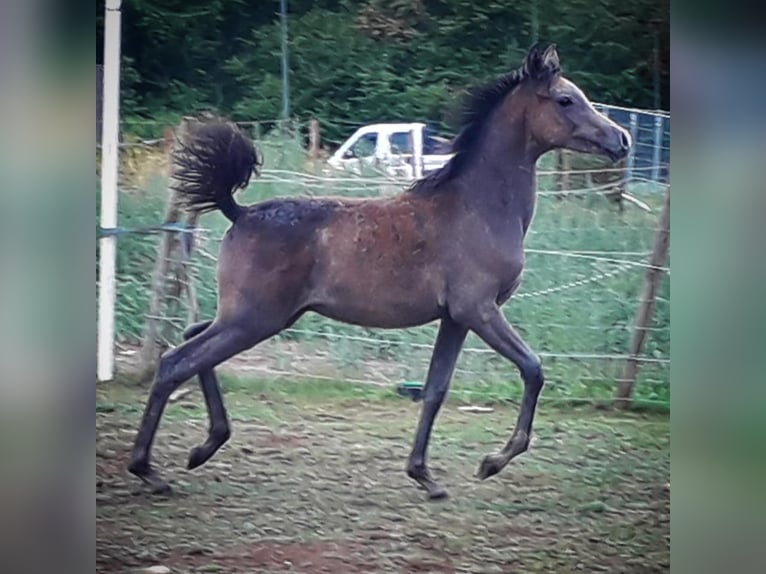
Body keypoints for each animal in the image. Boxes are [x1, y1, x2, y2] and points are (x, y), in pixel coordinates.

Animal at [130, 45, 632, 502]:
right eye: (565, 99)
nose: (622, 140)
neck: (478, 207)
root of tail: (240, 211)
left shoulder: (456, 318)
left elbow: (435, 390)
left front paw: (425, 476)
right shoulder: (480, 309)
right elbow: (533, 369)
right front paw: (491, 462)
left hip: (254, 316)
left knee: (193, 339)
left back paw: (204, 447)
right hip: (255, 318)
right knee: (177, 361)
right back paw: (150, 470)